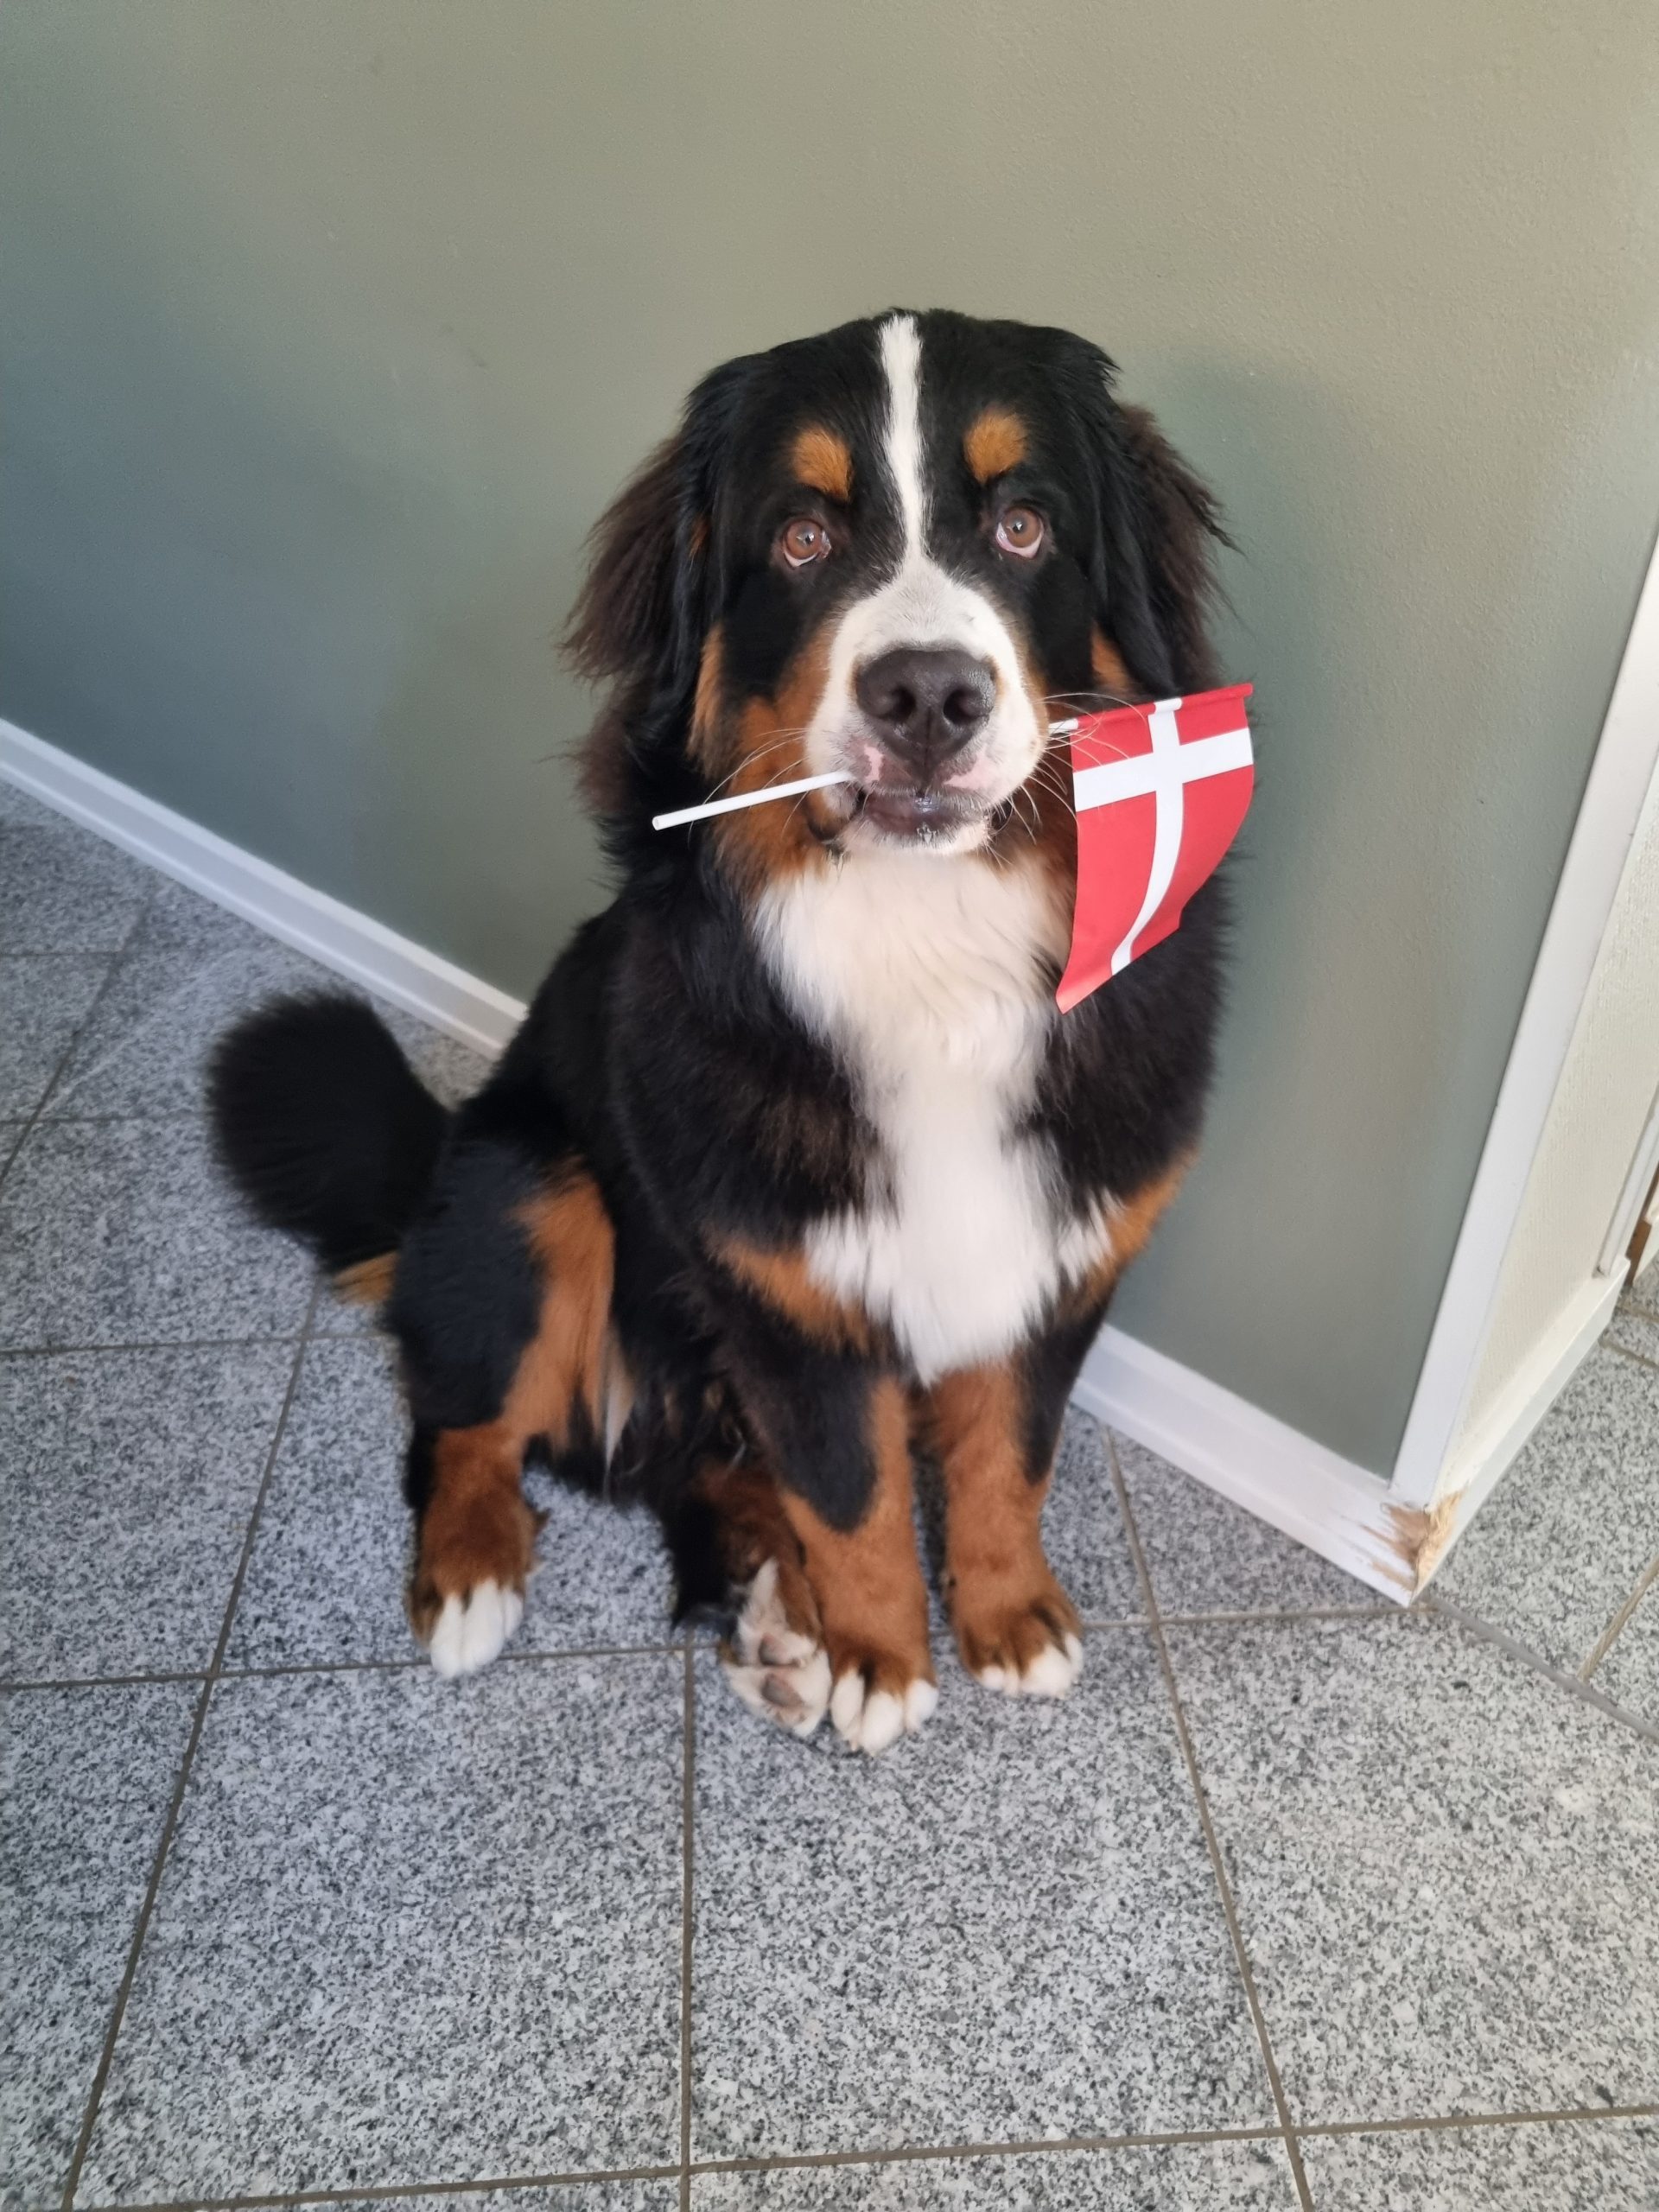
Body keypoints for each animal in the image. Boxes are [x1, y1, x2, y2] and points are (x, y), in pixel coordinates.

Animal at [211, 308, 1230, 1756]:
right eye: (801, 539)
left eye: (1026, 526)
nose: (928, 695)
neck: (928, 947)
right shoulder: (786, 1292)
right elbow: (852, 1494)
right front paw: (882, 1660)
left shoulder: (1064, 1247)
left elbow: (1006, 1454)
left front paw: (1005, 1615)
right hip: (531, 1184)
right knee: (463, 1423)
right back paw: (477, 1578)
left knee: (694, 1478)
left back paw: (771, 1619)